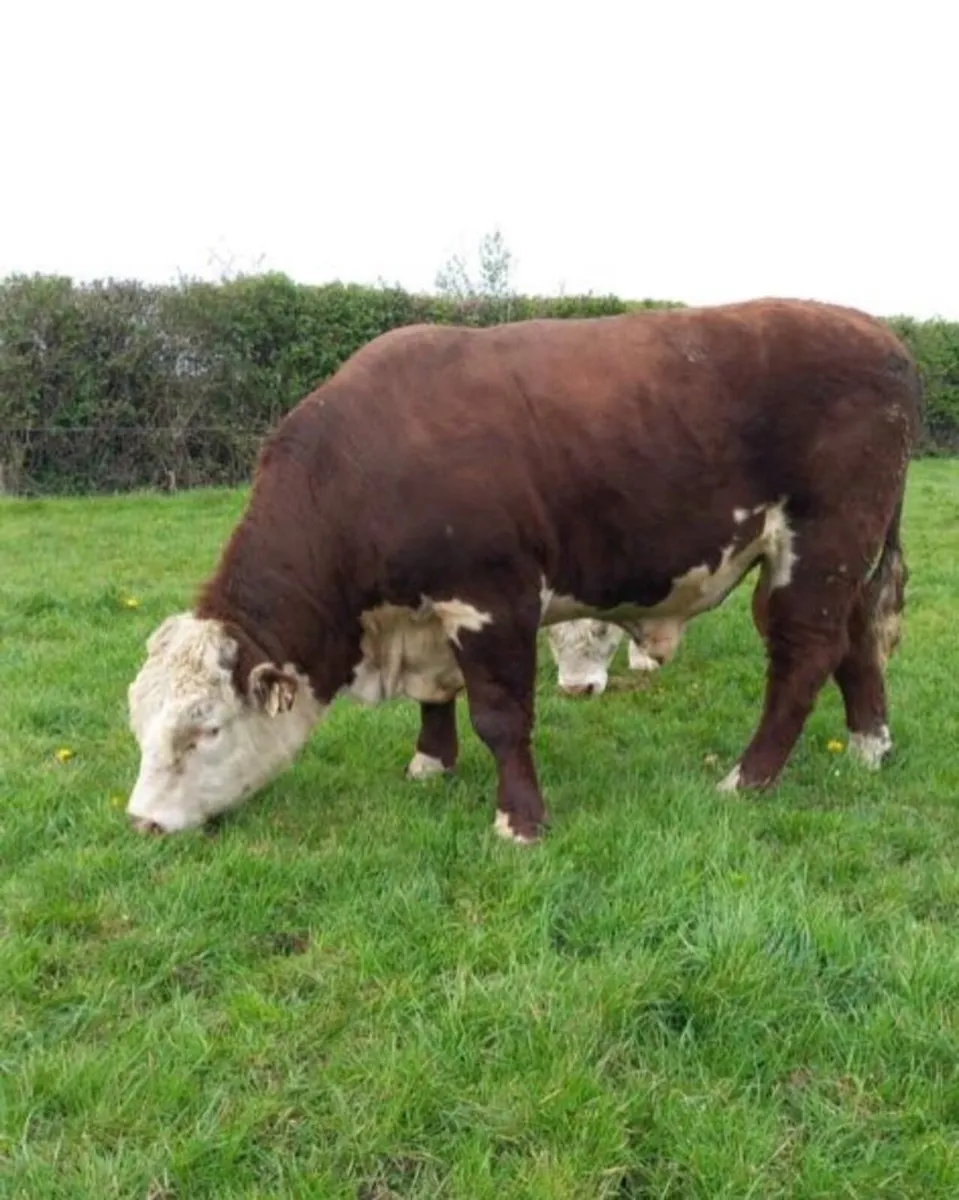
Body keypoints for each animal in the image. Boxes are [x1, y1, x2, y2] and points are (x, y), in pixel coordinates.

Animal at [125, 298, 920, 845]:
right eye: (139, 726)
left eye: (205, 731)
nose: (142, 822)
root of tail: (877, 335)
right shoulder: (431, 612)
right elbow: (438, 697)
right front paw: (430, 763)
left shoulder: (492, 598)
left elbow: (501, 717)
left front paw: (520, 823)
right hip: (845, 556)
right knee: (854, 641)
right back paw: (867, 747)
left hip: (817, 547)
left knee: (803, 656)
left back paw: (746, 779)